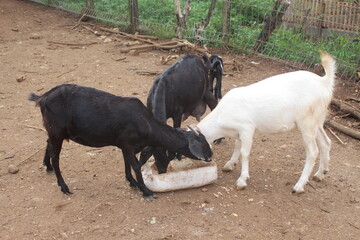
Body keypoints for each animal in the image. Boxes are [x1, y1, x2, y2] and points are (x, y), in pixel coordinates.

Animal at [30, 83, 214, 200]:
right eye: (202, 145)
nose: (210, 156)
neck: (146, 123)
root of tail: (43, 97)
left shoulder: (126, 147)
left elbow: (127, 163)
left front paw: (132, 182)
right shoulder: (128, 145)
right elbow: (136, 166)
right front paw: (145, 191)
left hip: (53, 130)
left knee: (48, 143)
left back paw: (47, 166)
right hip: (57, 131)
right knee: (56, 156)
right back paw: (64, 186)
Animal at [195, 52, 336, 193]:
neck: (221, 117)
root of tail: (324, 82)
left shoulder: (247, 129)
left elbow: (244, 153)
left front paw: (242, 180)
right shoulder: (239, 132)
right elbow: (237, 146)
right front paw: (229, 165)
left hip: (306, 122)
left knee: (312, 152)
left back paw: (299, 186)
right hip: (317, 121)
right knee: (326, 142)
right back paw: (320, 174)